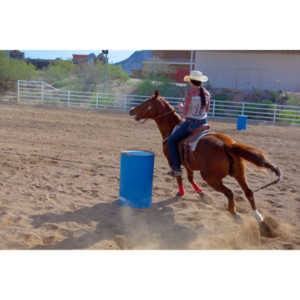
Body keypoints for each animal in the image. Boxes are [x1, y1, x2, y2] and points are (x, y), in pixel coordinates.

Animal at [129, 90, 282, 221]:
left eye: (146, 103)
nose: (131, 110)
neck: (172, 128)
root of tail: (227, 145)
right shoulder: (188, 164)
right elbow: (190, 178)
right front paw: (202, 194)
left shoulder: (172, 160)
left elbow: (179, 177)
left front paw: (181, 193)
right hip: (239, 173)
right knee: (249, 192)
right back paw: (258, 217)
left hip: (210, 177)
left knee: (230, 193)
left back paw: (233, 212)